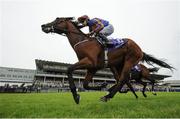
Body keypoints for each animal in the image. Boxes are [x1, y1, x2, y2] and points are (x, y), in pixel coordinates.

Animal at [41, 17, 174, 103]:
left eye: (58, 20)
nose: (43, 25)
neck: (83, 42)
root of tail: (140, 50)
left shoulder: (90, 62)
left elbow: (69, 69)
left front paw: (75, 96)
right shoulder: (92, 67)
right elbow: (85, 84)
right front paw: (102, 85)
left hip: (130, 61)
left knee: (124, 79)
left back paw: (109, 96)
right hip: (120, 65)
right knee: (124, 80)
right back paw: (111, 94)